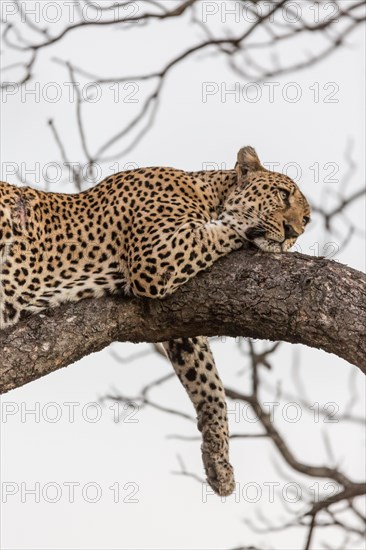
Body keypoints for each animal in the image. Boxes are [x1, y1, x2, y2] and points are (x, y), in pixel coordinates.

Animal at [0, 148, 310, 500]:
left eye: (307, 220)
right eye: (282, 194)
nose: (293, 231)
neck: (208, 193)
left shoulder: (180, 324)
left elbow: (208, 381)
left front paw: (218, 459)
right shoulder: (156, 255)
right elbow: (221, 228)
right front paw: (243, 221)